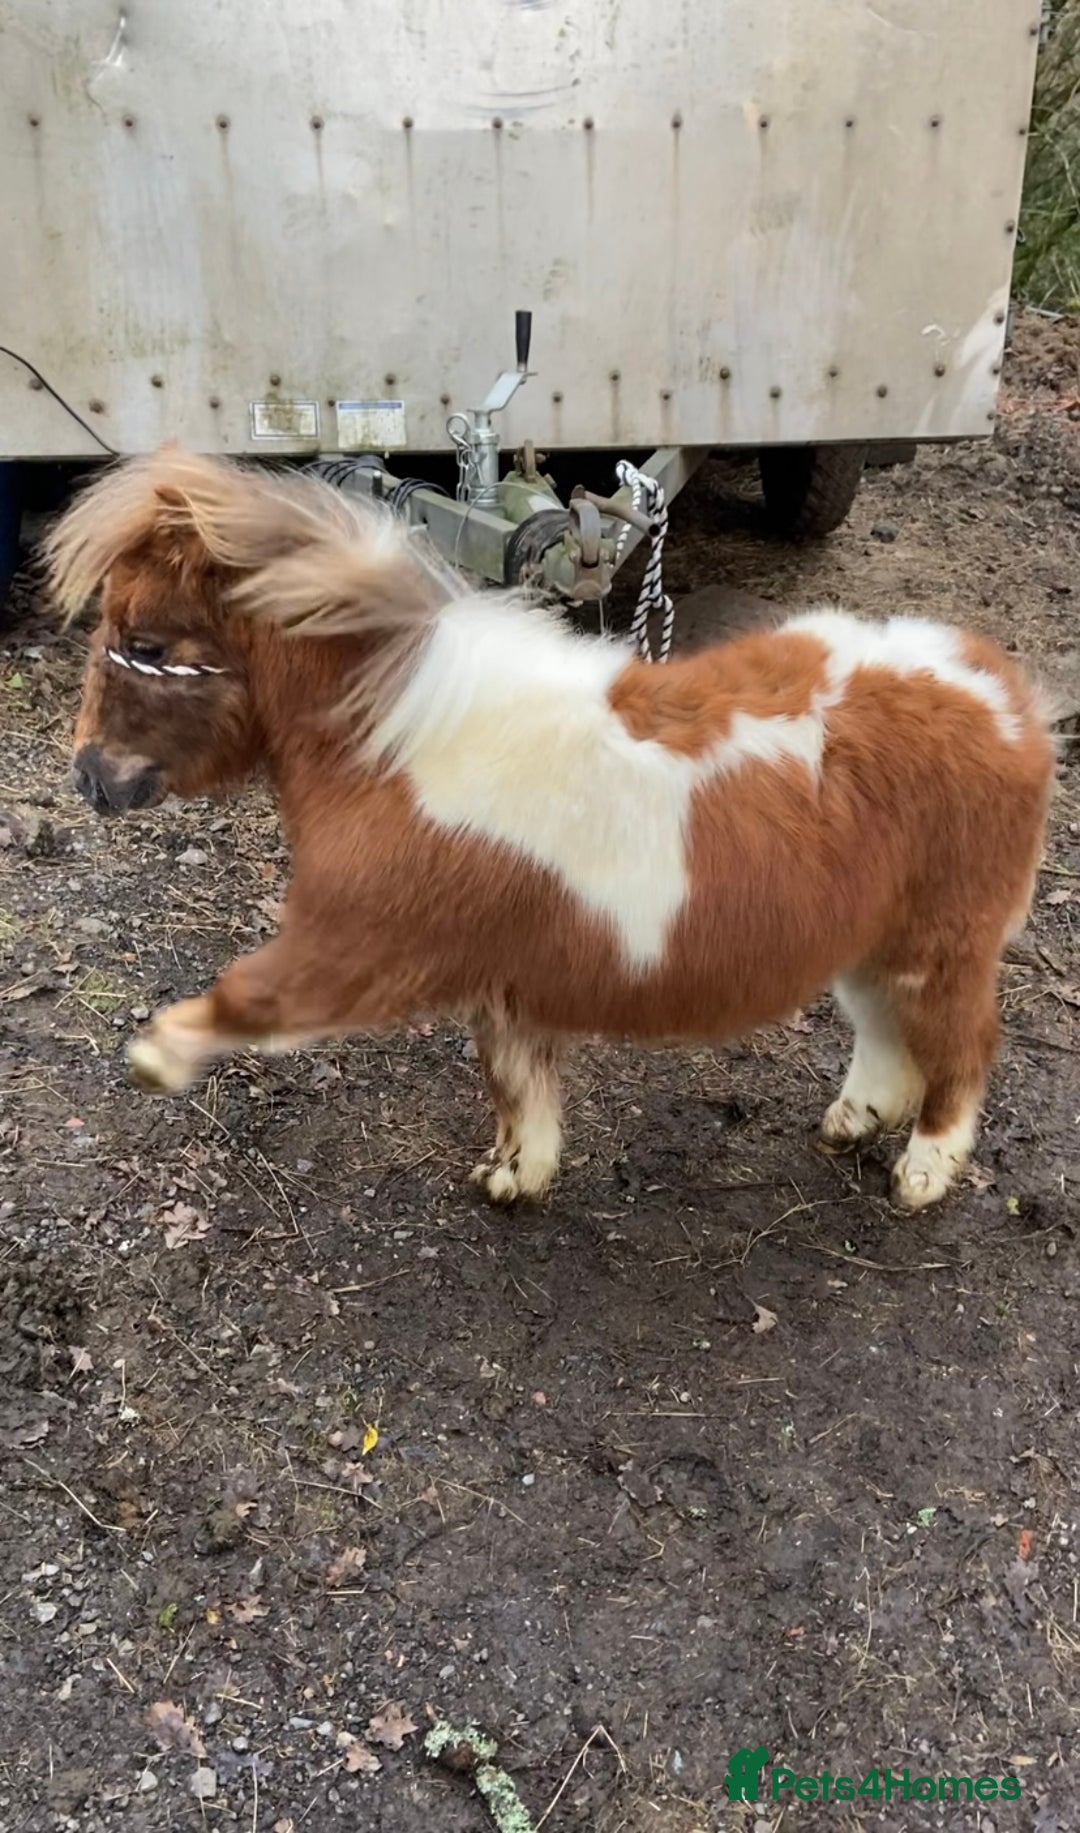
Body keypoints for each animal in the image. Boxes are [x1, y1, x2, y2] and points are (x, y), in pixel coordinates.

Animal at [46, 445, 1057, 1212]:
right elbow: (515, 1084)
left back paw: (922, 1173)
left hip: (940, 945)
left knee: (962, 1048)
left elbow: (249, 996)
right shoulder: (504, 985)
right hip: (874, 943)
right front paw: (514, 1177)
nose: (89, 775)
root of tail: (1004, 694)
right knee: (891, 1038)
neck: (402, 737)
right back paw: (853, 1122)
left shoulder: (347, 949)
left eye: (147, 642)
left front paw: (155, 1058)